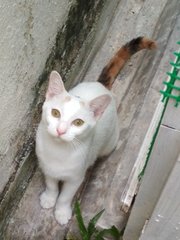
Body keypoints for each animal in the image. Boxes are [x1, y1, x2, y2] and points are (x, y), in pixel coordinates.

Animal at [35, 36, 155, 225]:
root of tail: (100, 86)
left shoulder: (76, 177)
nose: (61, 130)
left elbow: (65, 196)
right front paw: (49, 198)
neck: (58, 151)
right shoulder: (46, 167)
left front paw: (61, 211)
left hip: (109, 142)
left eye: (78, 122)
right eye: (55, 113)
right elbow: (51, 184)